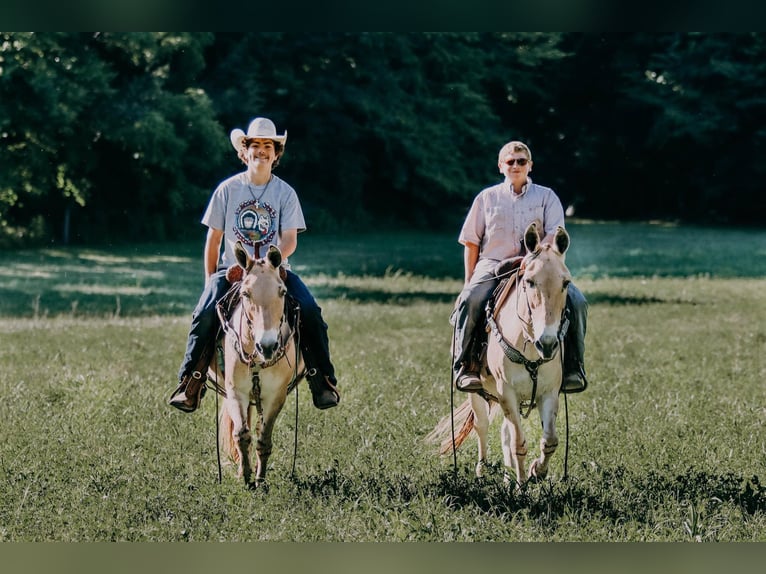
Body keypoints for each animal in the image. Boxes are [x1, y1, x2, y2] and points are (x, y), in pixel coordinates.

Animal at [213, 243, 306, 490]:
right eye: (245, 293)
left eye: (282, 291)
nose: (268, 346)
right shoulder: (236, 391)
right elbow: (241, 434)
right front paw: (246, 478)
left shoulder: (275, 396)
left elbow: (263, 439)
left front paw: (260, 479)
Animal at [428, 223, 572, 488]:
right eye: (530, 281)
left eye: (566, 283)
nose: (547, 343)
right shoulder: (507, 393)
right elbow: (519, 443)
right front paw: (523, 484)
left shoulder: (548, 392)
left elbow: (549, 441)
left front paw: (537, 471)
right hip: (477, 393)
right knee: (482, 426)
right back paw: (482, 472)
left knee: (505, 432)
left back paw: (507, 476)